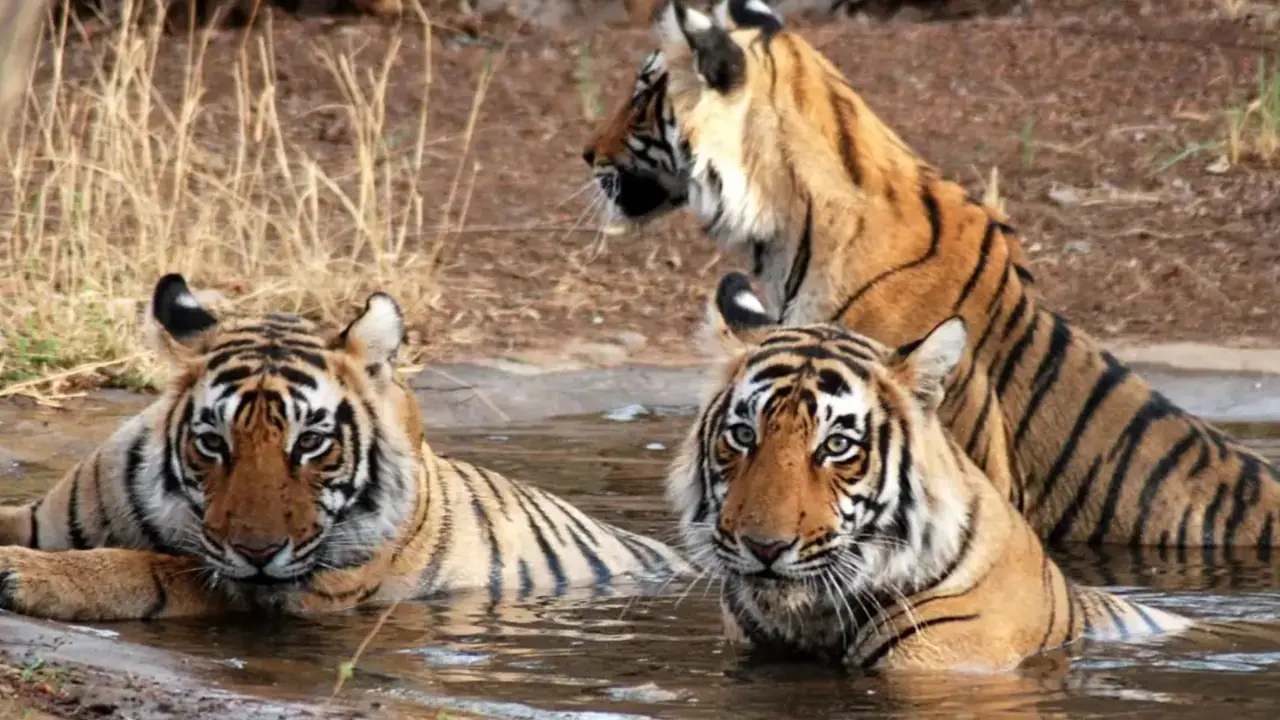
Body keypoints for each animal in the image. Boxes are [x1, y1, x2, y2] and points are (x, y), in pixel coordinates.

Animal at [0, 274, 689, 622]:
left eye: (310, 443)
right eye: (212, 443)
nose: (257, 551)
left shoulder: (287, 589)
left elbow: (152, 567)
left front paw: (27, 573)